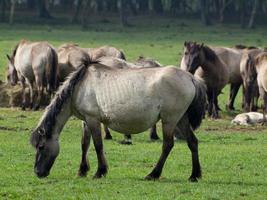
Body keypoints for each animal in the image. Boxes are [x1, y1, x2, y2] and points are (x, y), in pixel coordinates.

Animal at [30, 62, 207, 181]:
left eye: (41, 146)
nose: (38, 172)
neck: (79, 86)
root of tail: (190, 77)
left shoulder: (93, 119)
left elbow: (98, 145)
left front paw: (100, 172)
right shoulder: (86, 121)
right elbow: (84, 144)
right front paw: (82, 171)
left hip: (169, 120)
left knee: (168, 145)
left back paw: (153, 174)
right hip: (181, 119)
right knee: (192, 142)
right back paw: (194, 175)